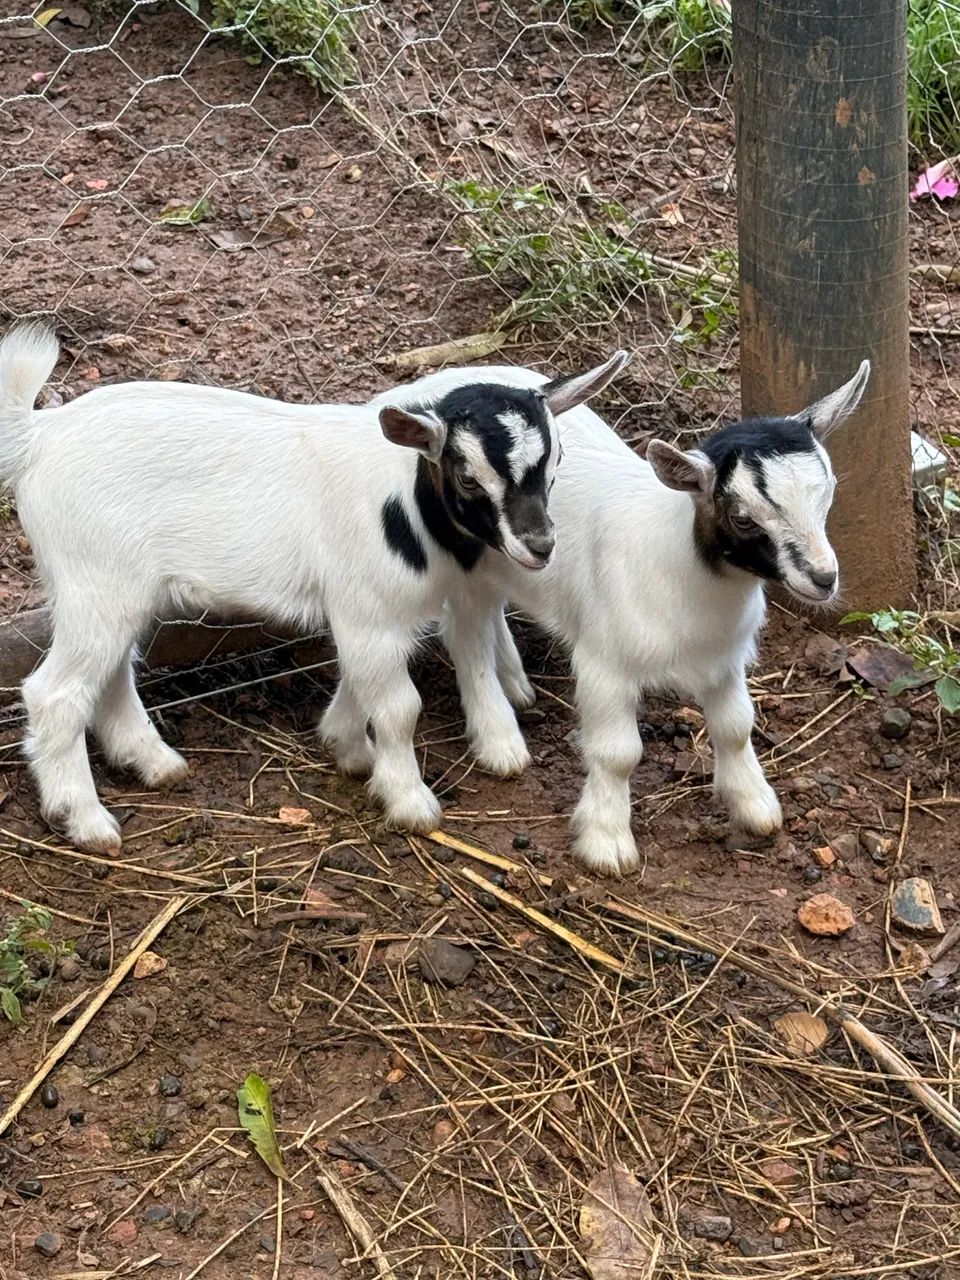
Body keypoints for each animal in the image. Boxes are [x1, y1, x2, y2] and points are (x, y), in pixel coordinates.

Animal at [0, 323, 627, 852]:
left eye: (557, 463)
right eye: (468, 477)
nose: (541, 545)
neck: (407, 505)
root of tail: (39, 439)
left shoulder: (364, 615)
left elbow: (362, 685)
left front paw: (347, 747)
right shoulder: (368, 611)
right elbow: (399, 708)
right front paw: (409, 801)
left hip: (109, 590)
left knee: (110, 673)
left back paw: (154, 762)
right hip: (96, 581)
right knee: (56, 694)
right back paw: (85, 819)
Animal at [370, 358, 870, 876]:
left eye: (828, 493)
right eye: (743, 518)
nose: (823, 578)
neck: (682, 567)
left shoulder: (724, 661)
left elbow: (735, 728)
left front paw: (754, 806)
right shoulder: (605, 666)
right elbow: (618, 755)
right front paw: (606, 841)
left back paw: (515, 681)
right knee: (466, 626)